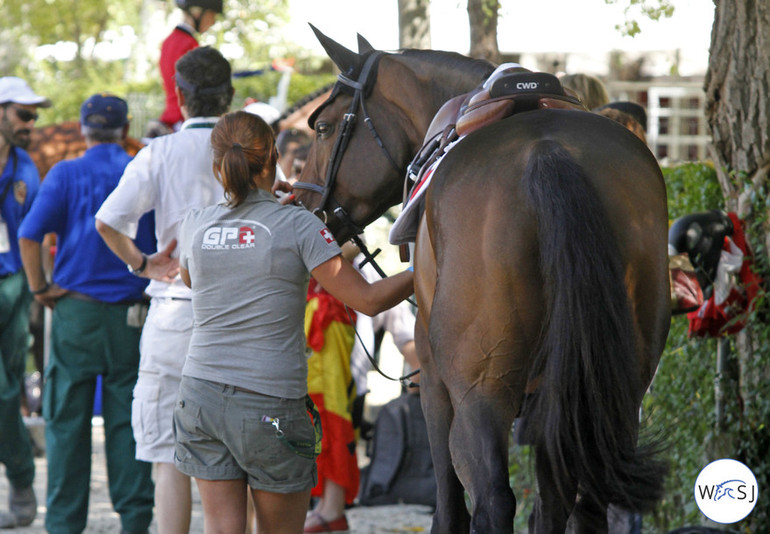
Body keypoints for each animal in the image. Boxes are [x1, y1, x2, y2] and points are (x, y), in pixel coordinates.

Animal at [296, 27, 668, 532]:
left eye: (323, 127)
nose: (301, 203)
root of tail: (548, 153)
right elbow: (549, 503)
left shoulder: (433, 378)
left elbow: (450, 501)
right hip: (614, 392)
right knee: (584, 500)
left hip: (482, 392)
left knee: (492, 499)